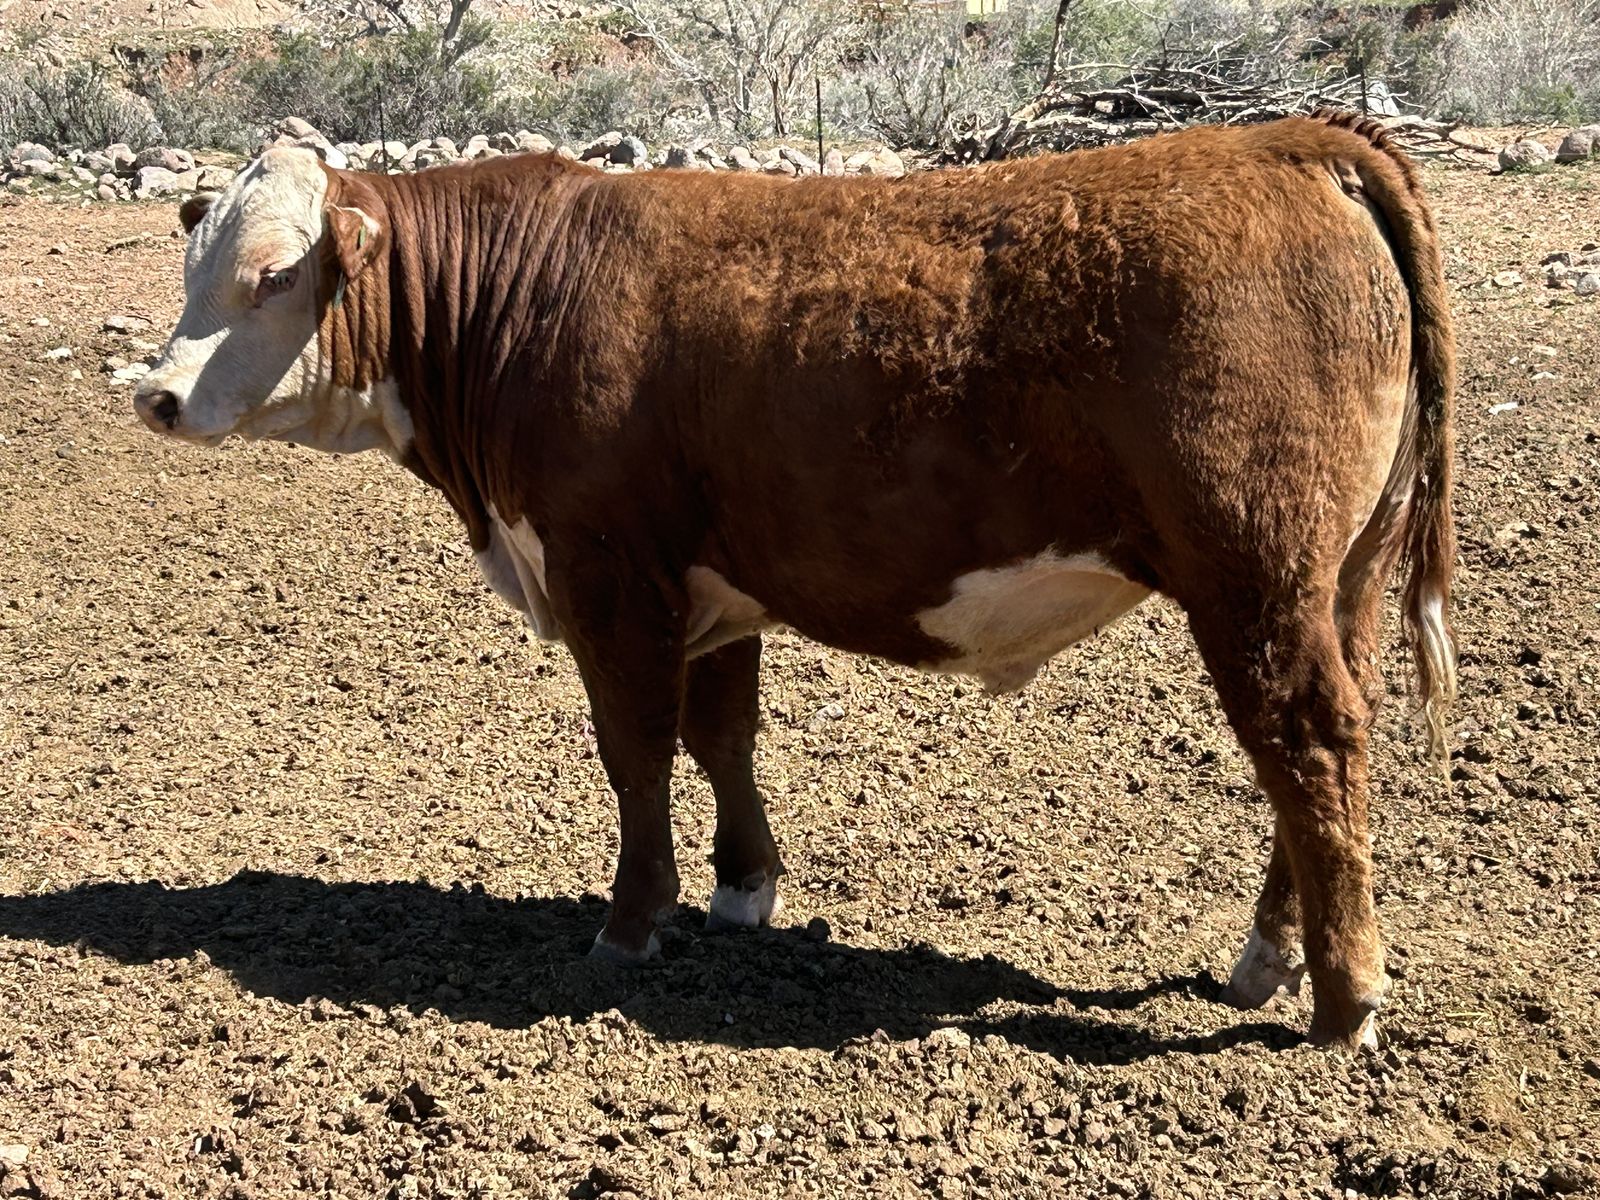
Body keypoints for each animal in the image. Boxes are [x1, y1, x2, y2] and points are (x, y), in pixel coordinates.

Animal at [133, 112, 1456, 1048]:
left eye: (271, 275)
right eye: (193, 263)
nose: (156, 393)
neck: (526, 293)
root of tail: (1293, 142)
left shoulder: (610, 575)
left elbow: (635, 750)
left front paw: (630, 924)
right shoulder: (714, 588)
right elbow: (723, 735)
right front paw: (742, 890)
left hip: (1252, 574)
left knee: (1306, 740)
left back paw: (1342, 999)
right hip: (1335, 577)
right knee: (1321, 753)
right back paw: (1270, 959)